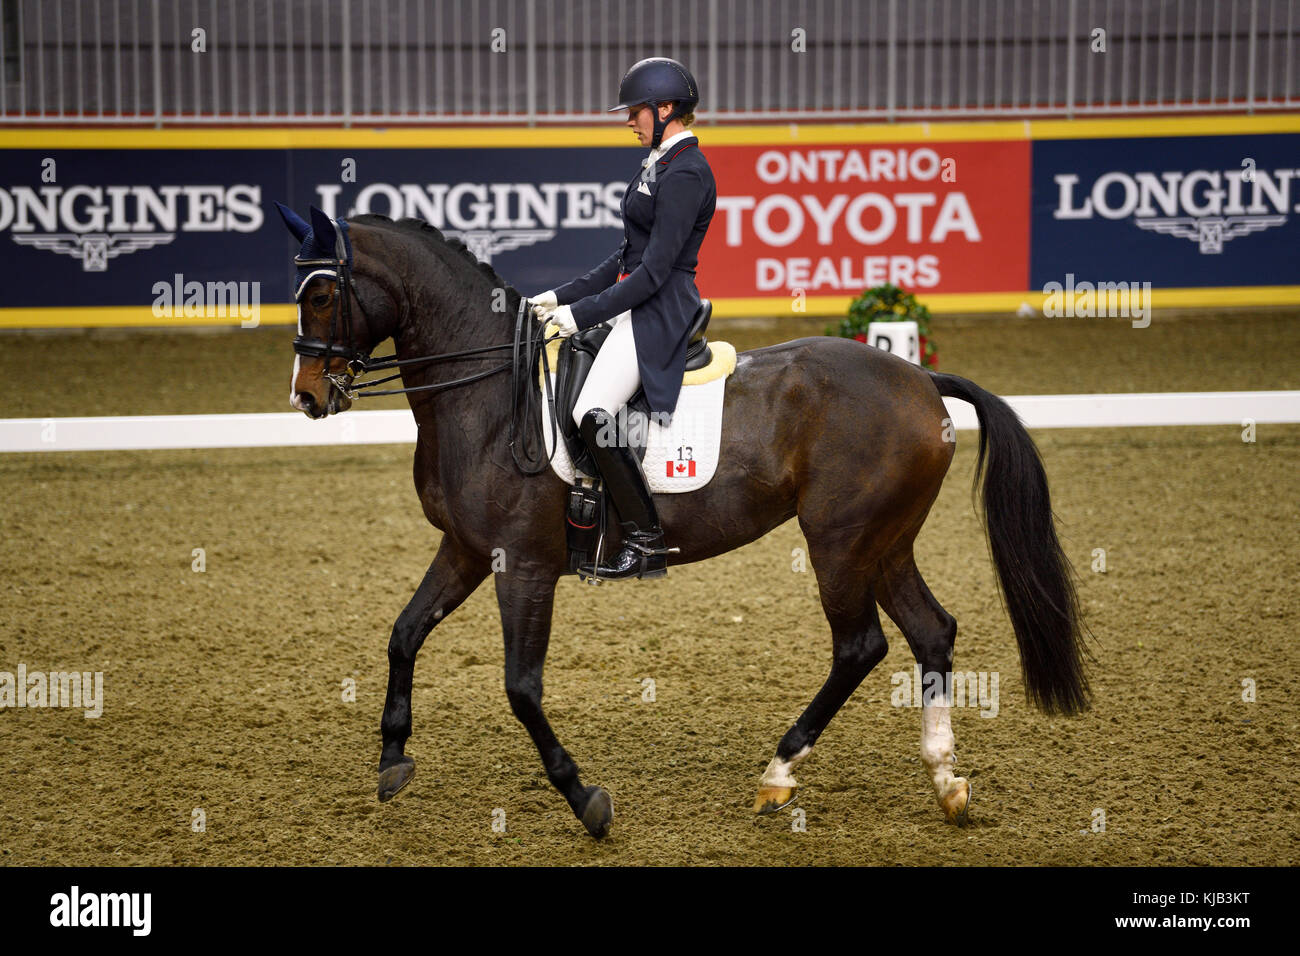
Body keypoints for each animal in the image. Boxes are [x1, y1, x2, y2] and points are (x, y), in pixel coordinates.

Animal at [276, 204, 1091, 839]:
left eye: (324, 293)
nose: (308, 397)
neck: (490, 396)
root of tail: (920, 377)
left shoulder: (525, 565)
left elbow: (521, 688)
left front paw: (587, 801)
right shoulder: (470, 550)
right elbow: (404, 634)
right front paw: (392, 762)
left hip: (840, 543)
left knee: (861, 646)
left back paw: (778, 773)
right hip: (882, 543)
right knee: (931, 631)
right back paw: (946, 783)